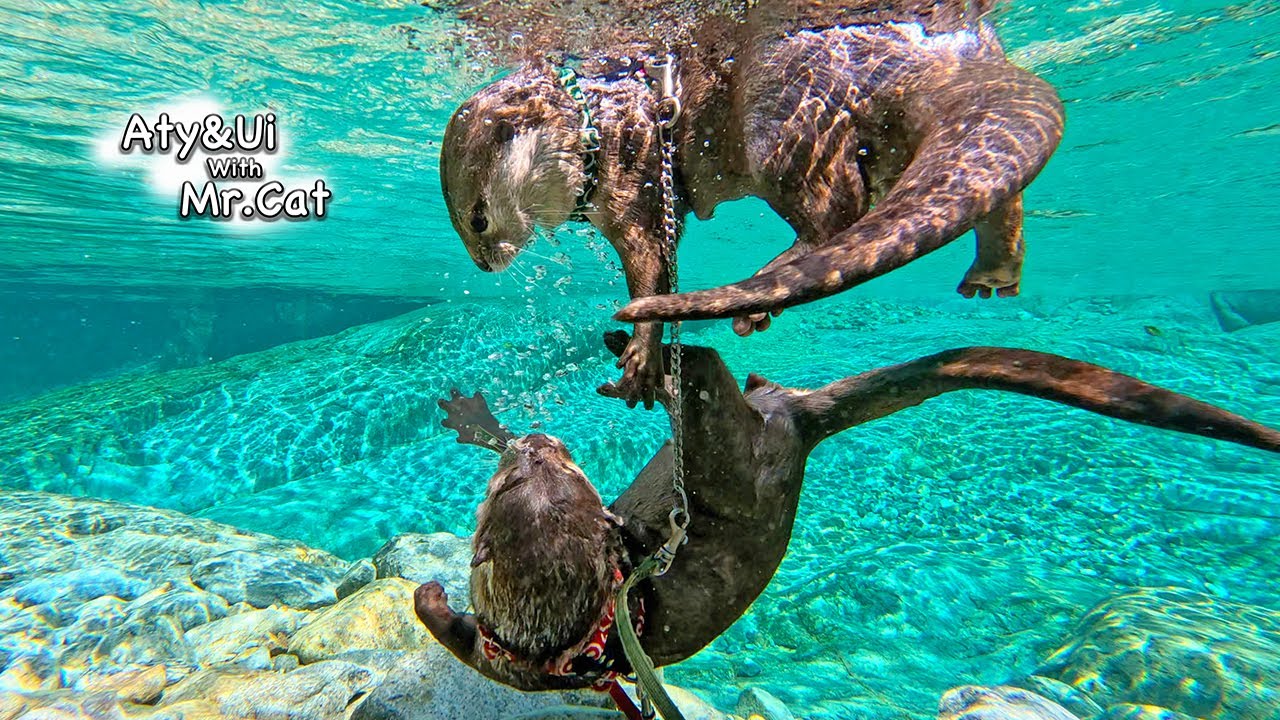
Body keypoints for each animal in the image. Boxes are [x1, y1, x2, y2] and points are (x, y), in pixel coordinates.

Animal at [414, 331, 1280, 692]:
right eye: (544, 473)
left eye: (567, 471)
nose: (538, 441)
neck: (586, 631)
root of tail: (798, 420)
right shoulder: (495, 653)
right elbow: (442, 621)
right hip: (744, 449)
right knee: (719, 378)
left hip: (733, 459)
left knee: (710, 380)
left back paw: (645, 348)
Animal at [439, 1, 1064, 406]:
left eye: (477, 219)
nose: (481, 265)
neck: (595, 130)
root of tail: (945, 50)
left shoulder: (633, 183)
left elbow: (650, 272)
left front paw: (640, 358)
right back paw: (995, 269)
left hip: (781, 113)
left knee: (838, 212)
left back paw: (767, 286)